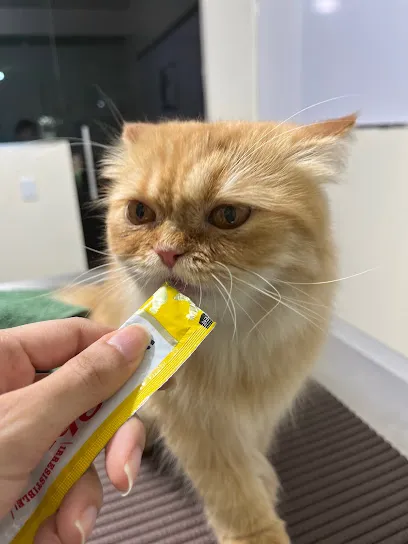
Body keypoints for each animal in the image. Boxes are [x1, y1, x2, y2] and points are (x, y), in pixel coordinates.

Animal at [60, 112, 354, 540]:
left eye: (228, 216)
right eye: (140, 213)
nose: (167, 252)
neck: (234, 345)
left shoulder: (265, 407)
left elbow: (253, 454)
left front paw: (262, 476)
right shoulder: (196, 424)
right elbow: (233, 492)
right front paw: (257, 532)